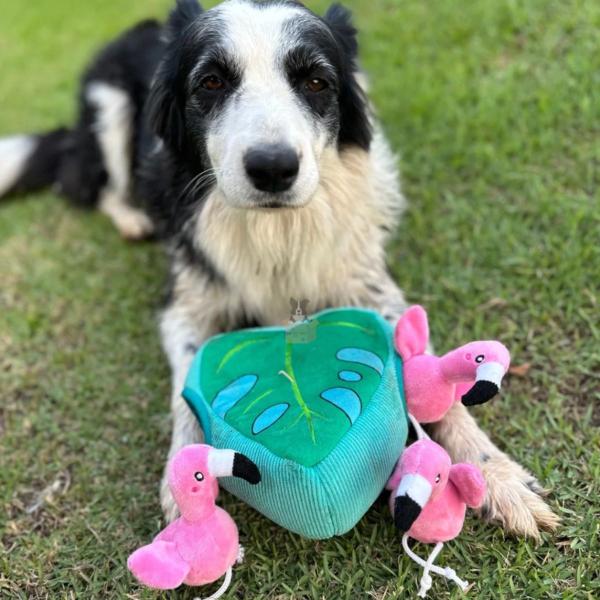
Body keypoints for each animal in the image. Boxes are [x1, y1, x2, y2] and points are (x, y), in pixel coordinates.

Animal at [0, 0, 556, 540]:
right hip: (109, 108)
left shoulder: (370, 286)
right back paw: (134, 218)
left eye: (316, 82)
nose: (272, 169)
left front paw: (498, 476)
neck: (277, 231)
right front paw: (183, 487)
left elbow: (439, 383)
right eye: (211, 82)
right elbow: (184, 391)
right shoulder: (185, 304)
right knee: (95, 184)